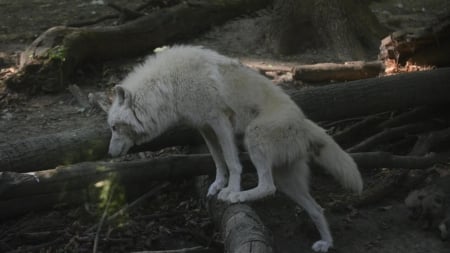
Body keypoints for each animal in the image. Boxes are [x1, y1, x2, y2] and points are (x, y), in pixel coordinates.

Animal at [108, 46, 362, 253]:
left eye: (113, 127)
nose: (110, 154)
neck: (169, 86)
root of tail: (304, 124)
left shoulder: (219, 121)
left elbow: (232, 161)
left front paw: (230, 189)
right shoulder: (204, 127)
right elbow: (217, 160)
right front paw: (217, 185)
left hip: (253, 137)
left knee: (267, 187)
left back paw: (239, 196)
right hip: (288, 182)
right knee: (316, 209)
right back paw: (326, 243)